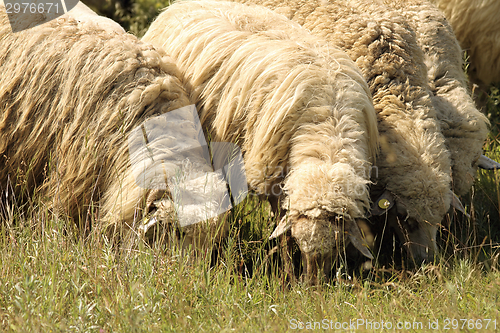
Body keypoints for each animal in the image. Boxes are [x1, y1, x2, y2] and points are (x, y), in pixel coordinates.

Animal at [144, 0, 378, 282]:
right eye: (301, 245)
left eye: (336, 247)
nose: (313, 286)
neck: (326, 138)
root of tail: (177, 6)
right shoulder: (272, 173)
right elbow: (283, 235)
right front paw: (288, 277)